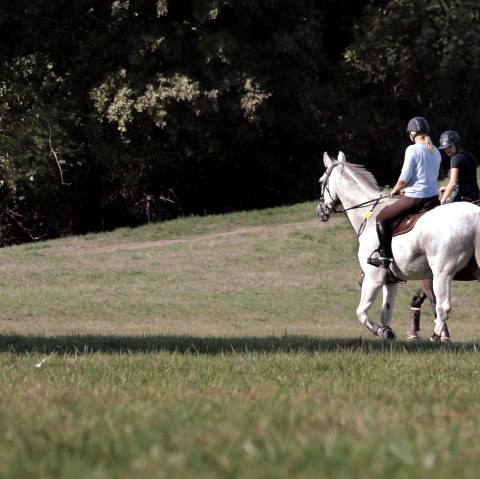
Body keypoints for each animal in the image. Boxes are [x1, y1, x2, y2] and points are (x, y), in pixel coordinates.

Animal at [316, 152, 480, 340]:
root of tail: (474, 212)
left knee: (443, 307)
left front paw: (380, 331)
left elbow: (361, 312)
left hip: (442, 272)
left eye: (321, 181)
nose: (320, 212)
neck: (369, 216)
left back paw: (434, 338)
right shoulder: (391, 280)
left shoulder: (374, 278)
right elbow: (386, 313)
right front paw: (388, 333)